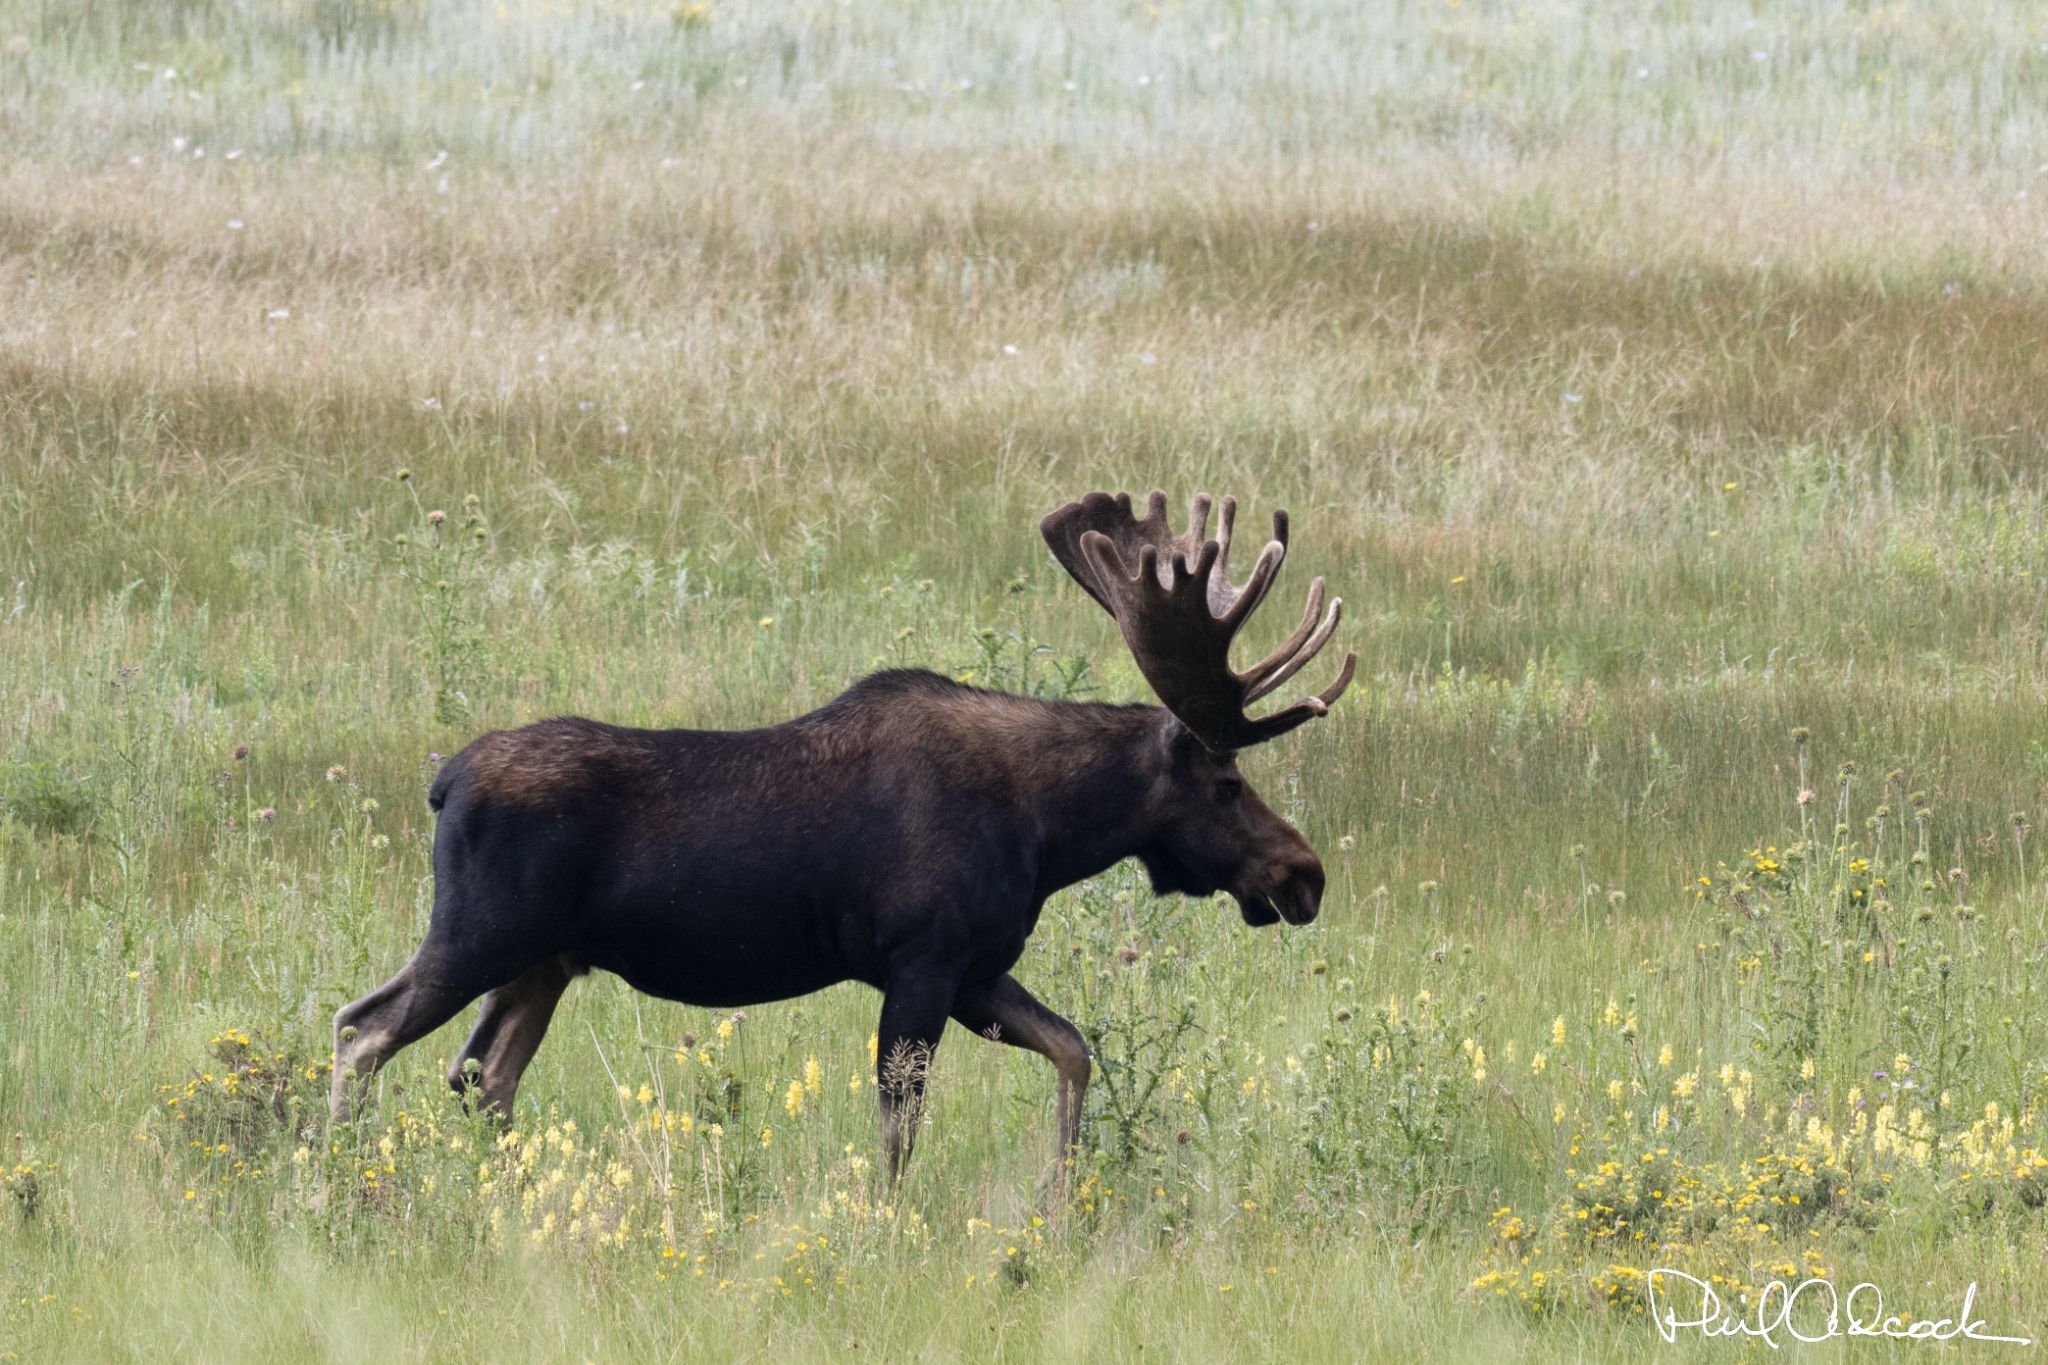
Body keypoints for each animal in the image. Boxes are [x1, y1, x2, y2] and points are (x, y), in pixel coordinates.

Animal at [330, 489, 1355, 1203]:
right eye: (1226, 784)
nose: (1303, 875)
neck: (1052, 830)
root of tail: (443, 782)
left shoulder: (977, 967)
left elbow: (1073, 1051)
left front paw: (1059, 1203)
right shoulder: (922, 959)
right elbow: (900, 1133)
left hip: (543, 960)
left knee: (479, 1073)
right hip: (481, 933)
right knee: (362, 1028)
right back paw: (336, 1181)